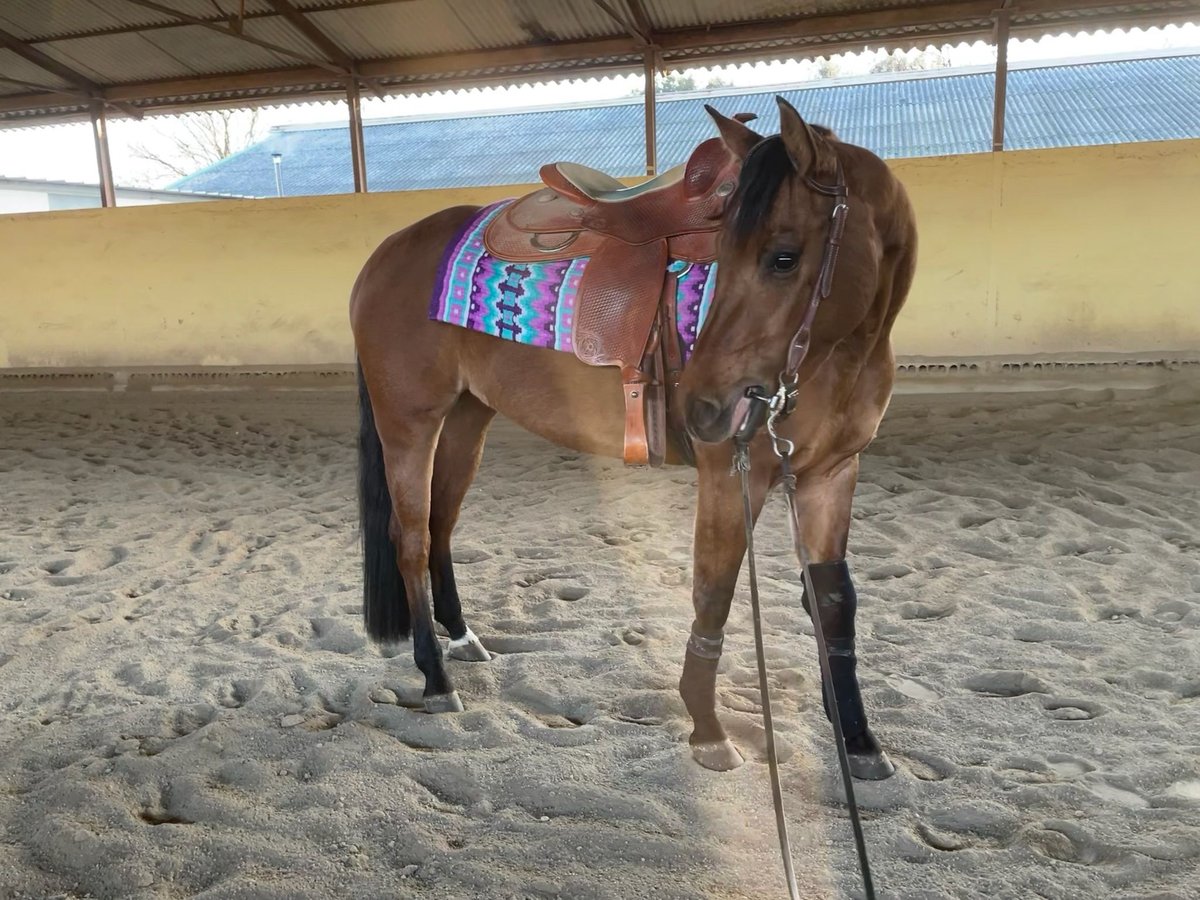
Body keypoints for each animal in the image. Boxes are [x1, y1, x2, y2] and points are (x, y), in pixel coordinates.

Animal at [349, 98, 918, 779]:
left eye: (784, 257)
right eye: (725, 251)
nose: (703, 404)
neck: (839, 354)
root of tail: (384, 254)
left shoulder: (831, 475)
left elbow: (833, 603)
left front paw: (857, 740)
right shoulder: (734, 474)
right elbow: (714, 594)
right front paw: (707, 730)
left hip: (466, 420)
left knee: (440, 527)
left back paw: (461, 638)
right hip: (409, 422)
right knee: (409, 538)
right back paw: (435, 678)